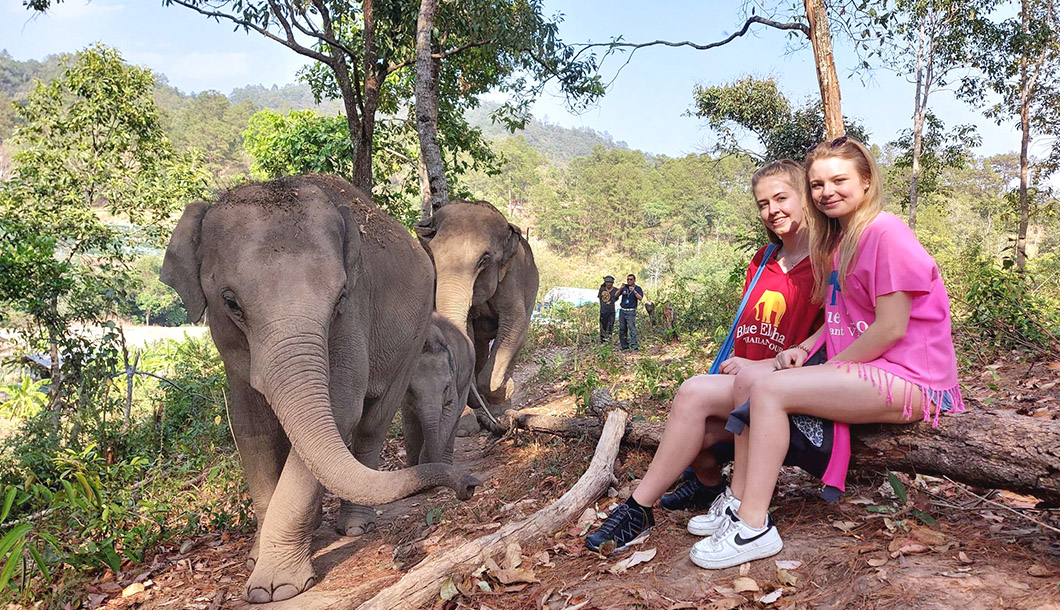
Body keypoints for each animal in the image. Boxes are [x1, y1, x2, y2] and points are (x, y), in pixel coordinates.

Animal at [160, 173, 481, 602]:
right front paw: (259, 557)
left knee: (372, 422)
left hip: (410, 341)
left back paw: (355, 527)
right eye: (230, 303)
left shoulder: (355, 317)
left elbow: (341, 409)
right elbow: (249, 427)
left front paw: (275, 587)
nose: (469, 485)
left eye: (339, 299)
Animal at [413, 201, 538, 424]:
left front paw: (504, 394)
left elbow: (514, 321)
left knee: (520, 337)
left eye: (484, 260)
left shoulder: (511, 278)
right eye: (433, 254)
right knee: (479, 345)